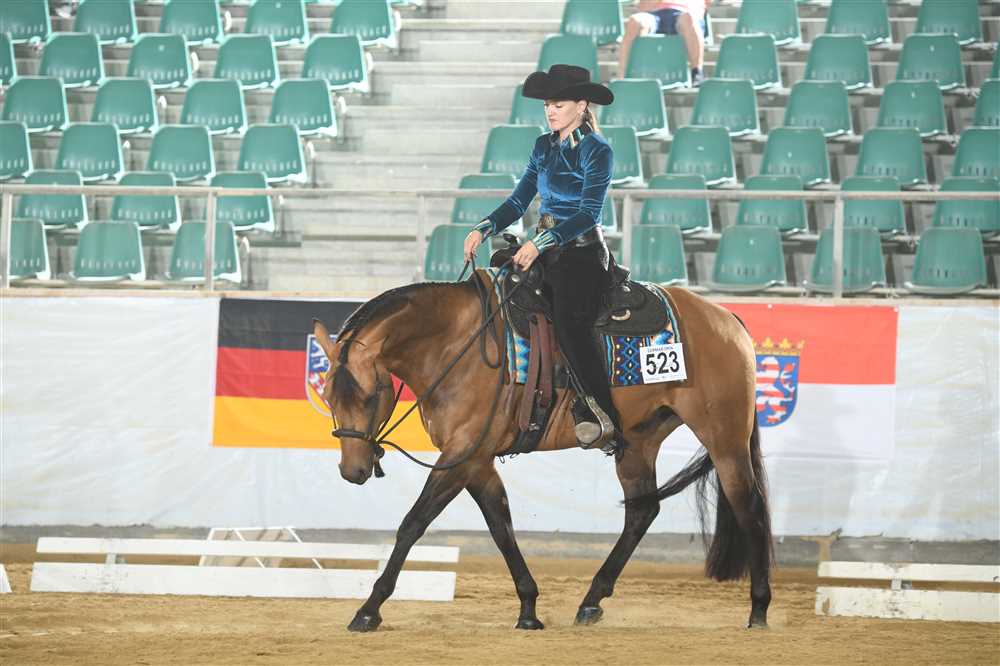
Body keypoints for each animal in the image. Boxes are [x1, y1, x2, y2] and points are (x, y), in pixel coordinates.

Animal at [311, 272, 773, 632]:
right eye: (328, 395)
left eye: (371, 396)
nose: (353, 470)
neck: (455, 343)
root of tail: (725, 318)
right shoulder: (476, 460)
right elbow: (501, 526)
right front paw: (529, 608)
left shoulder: (460, 455)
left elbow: (413, 523)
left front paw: (369, 610)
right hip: (639, 442)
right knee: (642, 512)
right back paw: (591, 600)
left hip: (725, 439)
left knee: (749, 506)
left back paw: (759, 609)